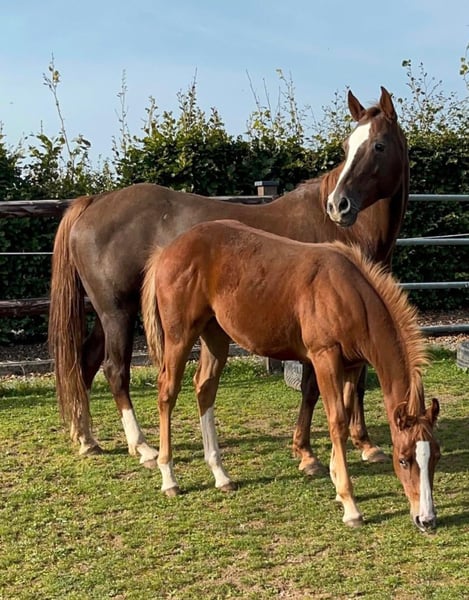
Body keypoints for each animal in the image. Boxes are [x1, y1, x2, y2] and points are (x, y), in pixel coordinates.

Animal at [48, 86, 409, 474]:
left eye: (378, 146)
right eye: (347, 146)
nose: (338, 205)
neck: (341, 232)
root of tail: (94, 202)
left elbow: (357, 383)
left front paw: (365, 444)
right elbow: (314, 388)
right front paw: (307, 452)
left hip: (111, 313)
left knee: (86, 362)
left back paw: (87, 439)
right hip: (117, 313)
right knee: (116, 370)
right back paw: (142, 447)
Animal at [141, 220, 440, 531]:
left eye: (436, 456)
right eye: (403, 460)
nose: (426, 520)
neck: (348, 294)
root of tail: (166, 251)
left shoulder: (352, 364)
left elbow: (344, 412)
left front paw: (335, 482)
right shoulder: (324, 357)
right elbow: (337, 421)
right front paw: (350, 505)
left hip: (215, 334)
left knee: (205, 388)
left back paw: (221, 475)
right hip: (179, 336)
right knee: (167, 391)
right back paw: (169, 477)